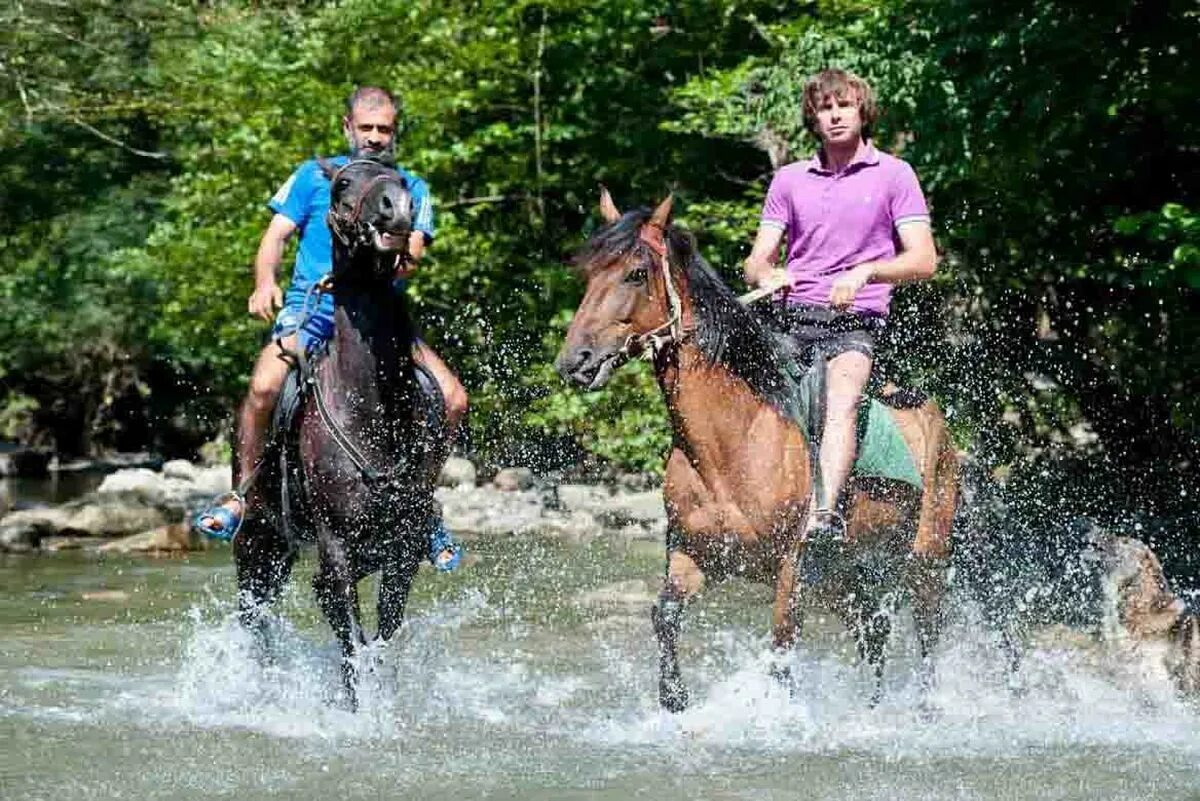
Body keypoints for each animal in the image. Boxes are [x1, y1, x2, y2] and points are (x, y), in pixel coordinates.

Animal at [231, 158, 448, 705]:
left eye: (404, 181)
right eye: (342, 184)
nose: (396, 208)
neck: (374, 411)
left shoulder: (402, 551)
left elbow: (382, 633)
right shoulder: (335, 551)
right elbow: (349, 642)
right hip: (259, 540)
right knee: (252, 616)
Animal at [556, 195, 960, 714]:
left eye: (635, 274)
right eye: (589, 274)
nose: (575, 362)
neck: (732, 444)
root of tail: (937, 422)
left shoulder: (792, 567)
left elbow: (782, 650)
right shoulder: (694, 554)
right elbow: (664, 616)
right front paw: (675, 700)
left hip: (923, 559)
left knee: (927, 635)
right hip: (850, 577)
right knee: (874, 634)